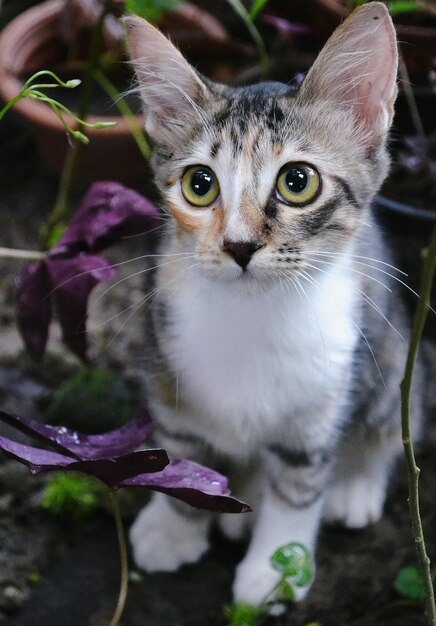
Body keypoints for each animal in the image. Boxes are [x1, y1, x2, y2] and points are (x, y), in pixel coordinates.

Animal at [124, 2, 424, 604]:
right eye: (199, 184)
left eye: (298, 181)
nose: (238, 245)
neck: (251, 315)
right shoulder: (164, 358)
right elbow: (181, 446)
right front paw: (171, 527)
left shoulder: (324, 392)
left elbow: (300, 479)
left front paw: (275, 567)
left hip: (389, 352)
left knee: (390, 419)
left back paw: (353, 485)